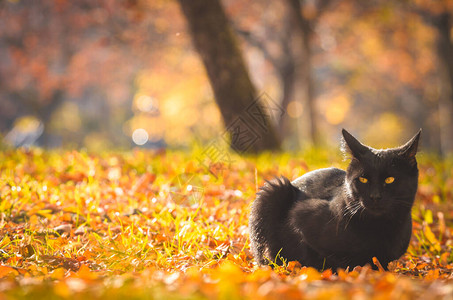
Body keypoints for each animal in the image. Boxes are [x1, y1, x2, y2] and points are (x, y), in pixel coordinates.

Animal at [249, 130, 418, 270]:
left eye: (390, 179)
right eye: (363, 179)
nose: (375, 196)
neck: (379, 227)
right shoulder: (301, 216)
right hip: (273, 190)